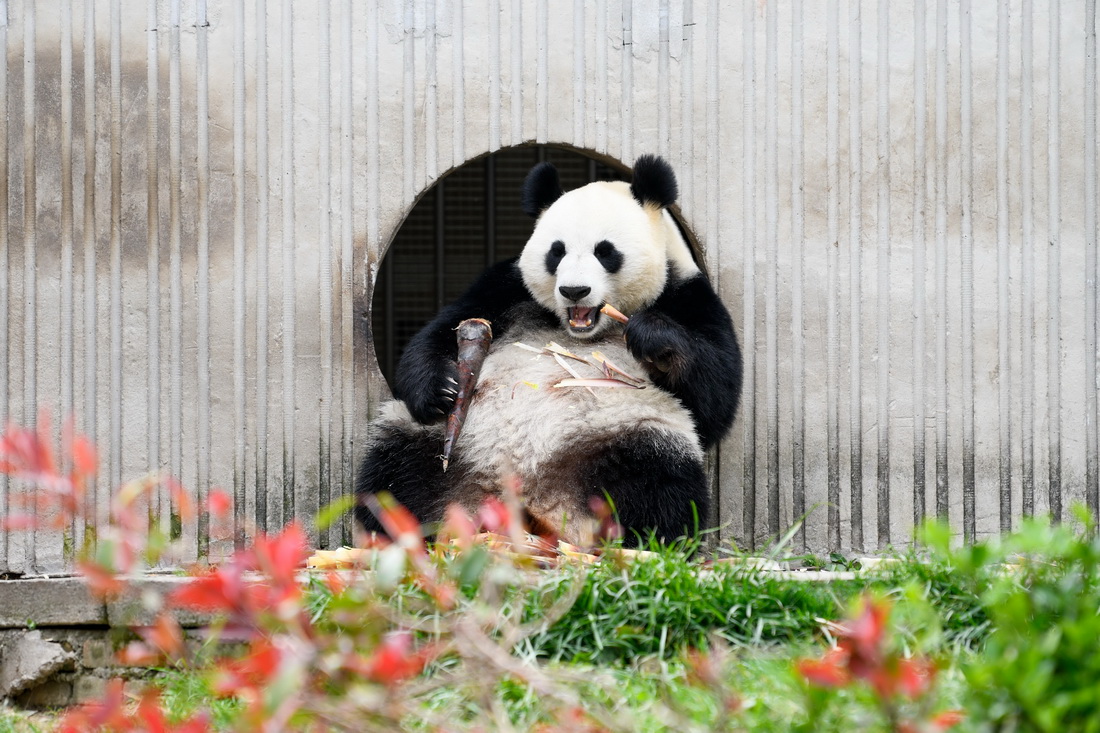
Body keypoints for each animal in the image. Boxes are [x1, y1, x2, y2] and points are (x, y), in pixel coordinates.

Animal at [356, 154, 743, 541]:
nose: (574, 291)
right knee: (394, 475)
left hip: (628, 433)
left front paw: (651, 335)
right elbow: (439, 332)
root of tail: (528, 501)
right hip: (442, 444)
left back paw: (638, 539)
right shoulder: (505, 287)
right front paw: (441, 389)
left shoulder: (688, 295)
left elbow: (713, 397)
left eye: (605, 252)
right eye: (556, 252)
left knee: (658, 483)